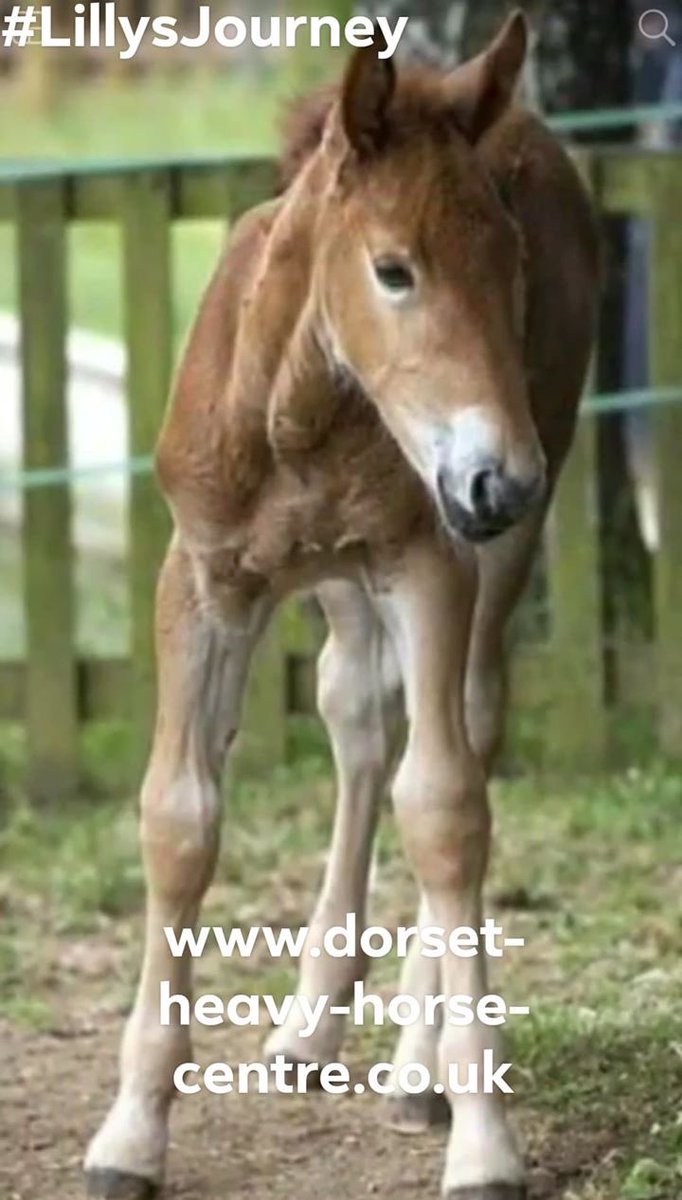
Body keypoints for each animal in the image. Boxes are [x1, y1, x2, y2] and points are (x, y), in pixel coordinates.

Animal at [84, 11, 600, 1199]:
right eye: (394, 269)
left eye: (510, 267)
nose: (503, 478)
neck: (299, 413)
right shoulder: (203, 578)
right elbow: (179, 819)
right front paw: (130, 1133)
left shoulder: (430, 559)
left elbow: (447, 809)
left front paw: (482, 1139)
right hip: (339, 583)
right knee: (356, 717)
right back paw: (312, 1022)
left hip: (478, 555)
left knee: (461, 728)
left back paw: (414, 1060)